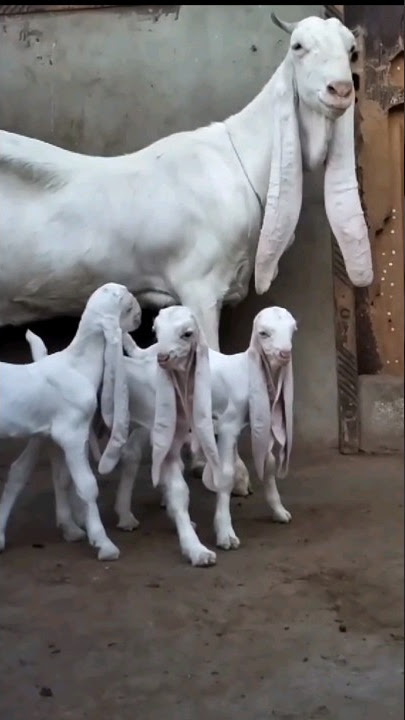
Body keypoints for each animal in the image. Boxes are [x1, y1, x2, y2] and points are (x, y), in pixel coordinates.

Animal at [0, 283, 141, 560]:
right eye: (128, 305)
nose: (140, 317)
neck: (77, 366)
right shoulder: (72, 434)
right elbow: (87, 486)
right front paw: (104, 544)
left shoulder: (54, 435)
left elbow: (58, 478)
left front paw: (73, 529)